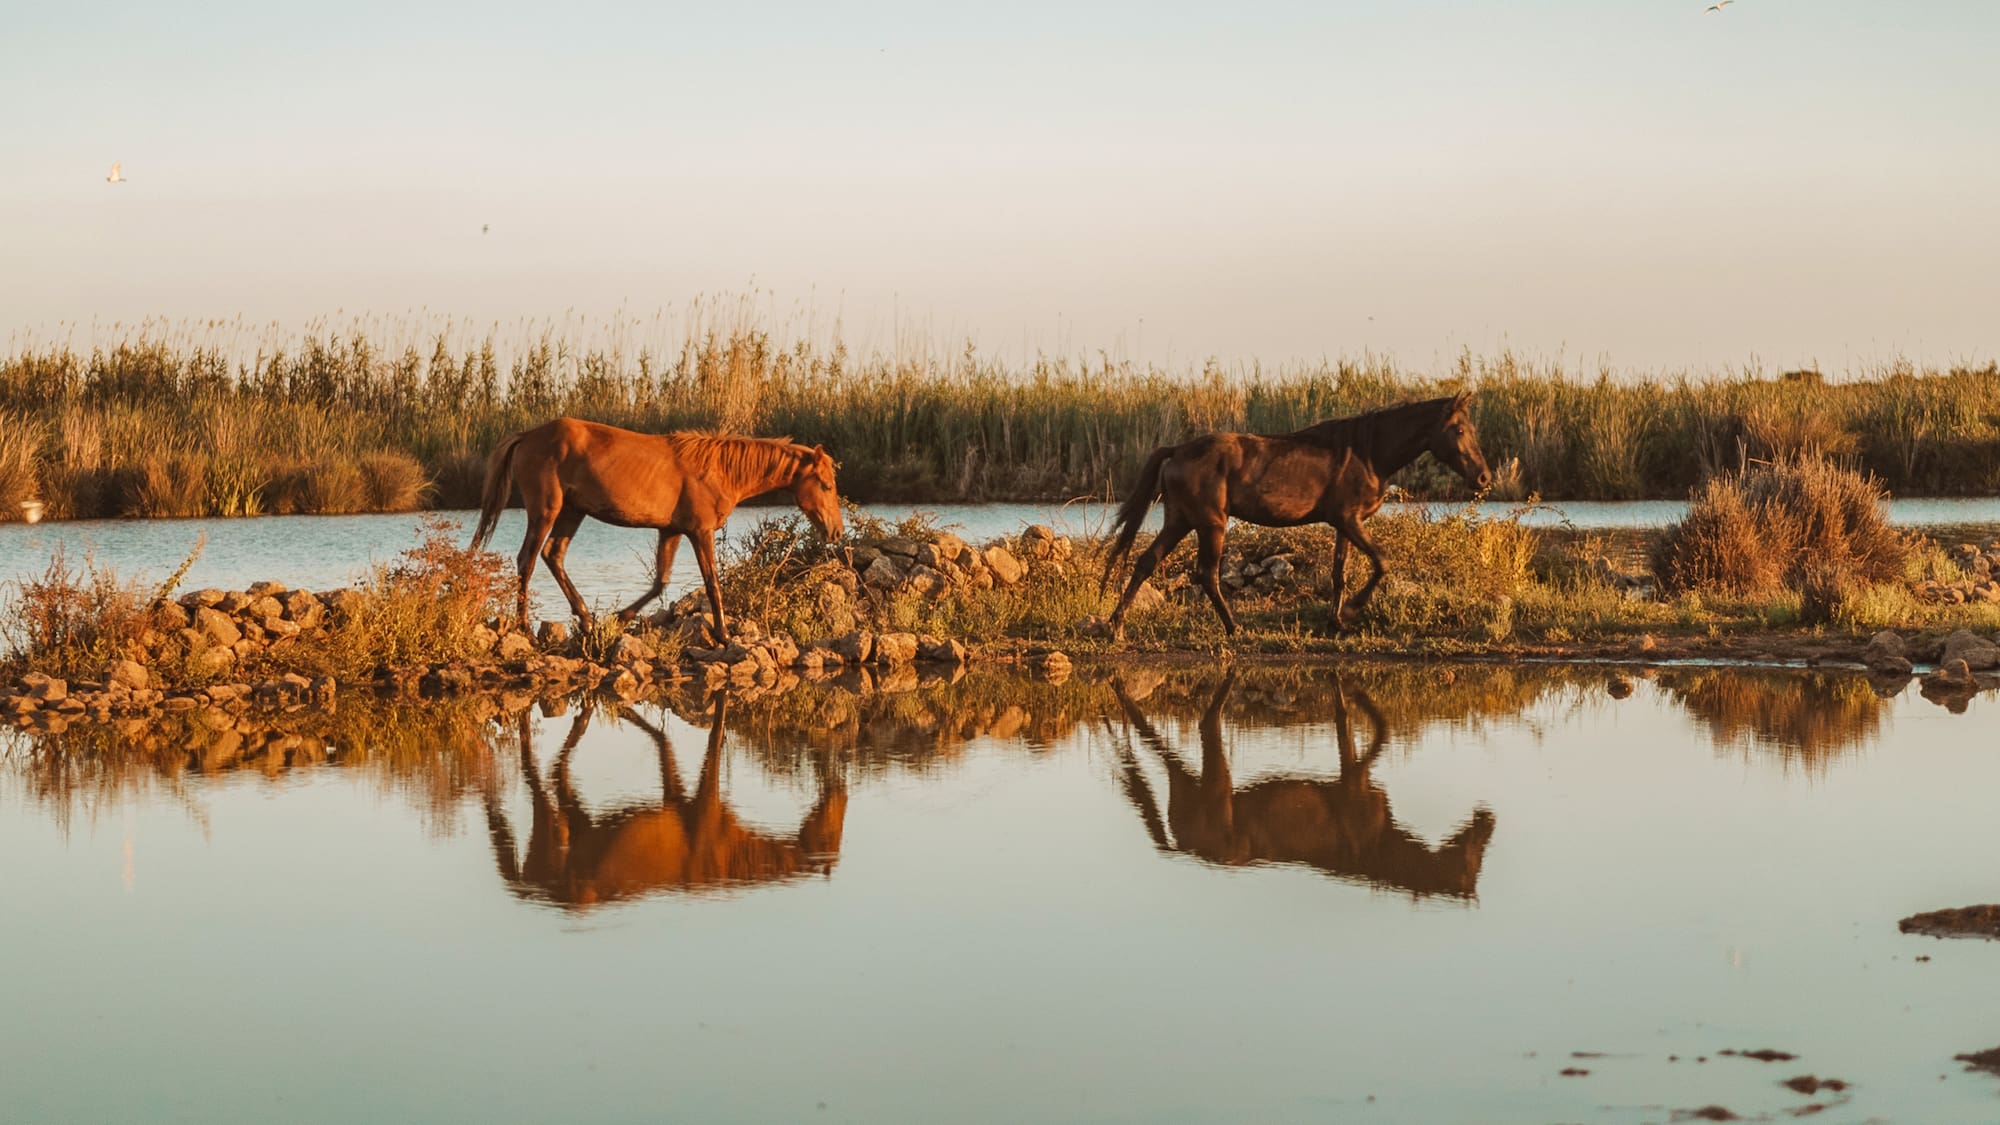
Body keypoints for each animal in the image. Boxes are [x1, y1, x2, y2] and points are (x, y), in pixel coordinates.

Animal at [470, 417, 843, 639]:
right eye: (825, 485)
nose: (836, 532)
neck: (719, 470)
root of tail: (528, 435)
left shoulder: (671, 531)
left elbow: (659, 582)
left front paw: (621, 617)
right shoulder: (700, 532)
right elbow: (712, 583)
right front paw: (723, 635)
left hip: (573, 512)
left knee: (553, 555)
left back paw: (587, 618)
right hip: (546, 510)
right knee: (528, 559)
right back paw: (525, 626)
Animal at [482, 699, 847, 910]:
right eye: (830, 835)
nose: (839, 792)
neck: (732, 852)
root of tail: (532, 891)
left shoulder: (678, 798)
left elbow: (664, 745)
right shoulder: (704, 803)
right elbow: (712, 745)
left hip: (575, 825)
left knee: (555, 775)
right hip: (552, 828)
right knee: (536, 774)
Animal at [1099, 393, 1491, 638]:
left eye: (1473, 429)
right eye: (1458, 429)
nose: (1484, 477)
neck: (1368, 453)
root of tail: (1178, 449)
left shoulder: (1343, 524)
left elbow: (1339, 573)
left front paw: (1336, 622)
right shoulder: (1350, 520)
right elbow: (1382, 562)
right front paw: (1352, 610)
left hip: (1179, 520)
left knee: (1145, 562)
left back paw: (1116, 625)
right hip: (1211, 524)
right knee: (1206, 574)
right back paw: (1234, 627)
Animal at [1108, 671, 1496, 899]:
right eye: (1471, 865)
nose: (1487, 819)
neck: (1379, 847)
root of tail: (1184, 848)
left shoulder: (1357, 778)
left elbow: (1355, 727)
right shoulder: (1355, 782)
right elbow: (1372, 732)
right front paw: (1359, 695)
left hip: (1195, 784)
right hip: (1211, 781)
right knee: (1196, 732)